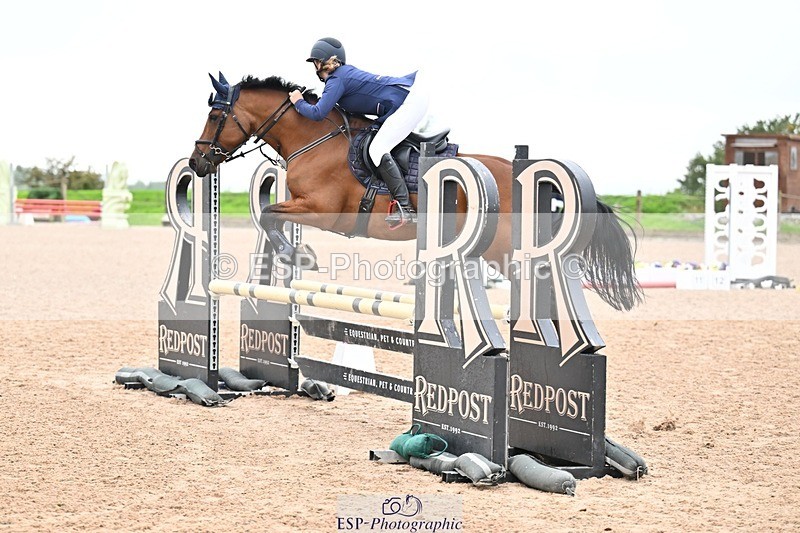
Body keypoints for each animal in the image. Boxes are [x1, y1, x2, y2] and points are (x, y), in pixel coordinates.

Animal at [189, 73, 642, 312]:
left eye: (215, 116)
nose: (196, 164)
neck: (312, 138)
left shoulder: (321, 210)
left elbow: (269, 215)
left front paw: (301, 256)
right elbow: (268, 217)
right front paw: (298, 255)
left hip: (503, 249)